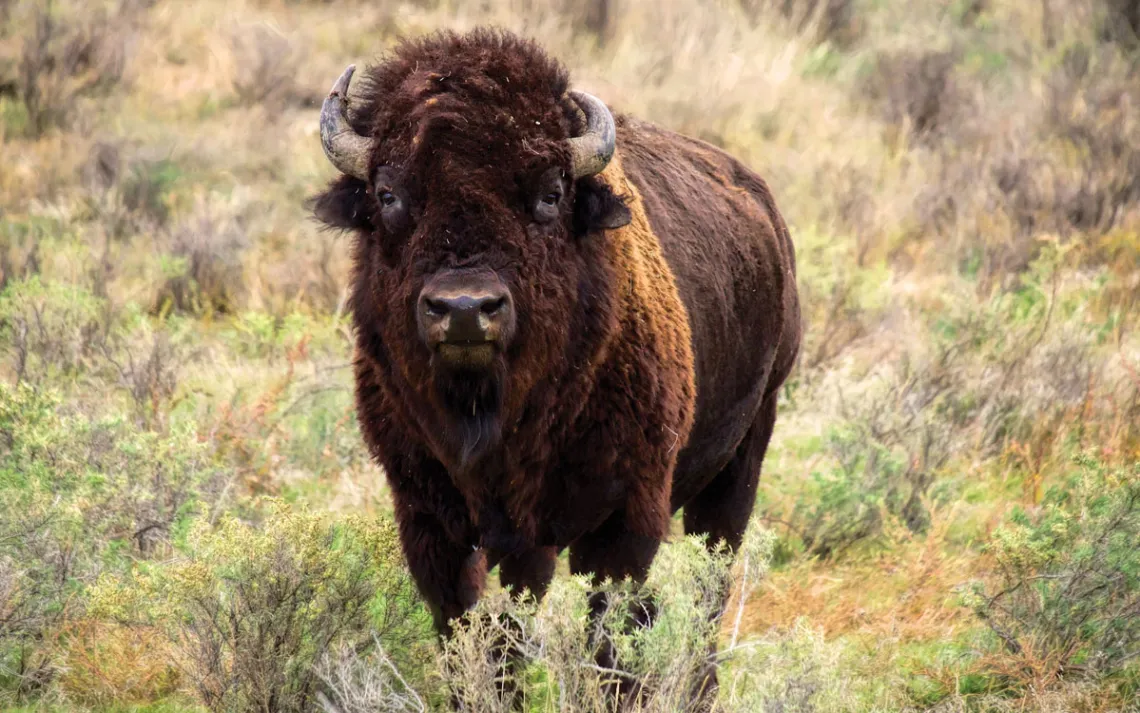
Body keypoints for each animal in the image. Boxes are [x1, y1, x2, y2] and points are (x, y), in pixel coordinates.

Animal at [312, 28, 801, 650]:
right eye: (387, 193)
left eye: (549, 194)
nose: (465, 309)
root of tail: (764, 207)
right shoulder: (430, 520)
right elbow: (471, 629)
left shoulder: (622, 520)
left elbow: (608, 628)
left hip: (746, 450)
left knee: (708, 589)